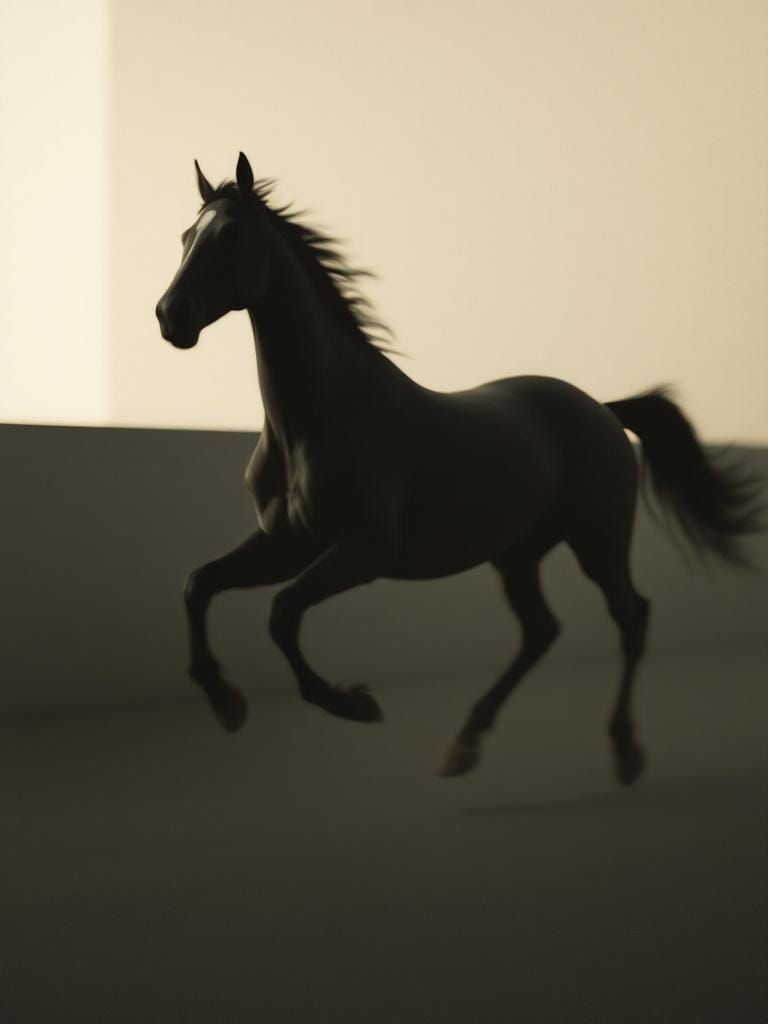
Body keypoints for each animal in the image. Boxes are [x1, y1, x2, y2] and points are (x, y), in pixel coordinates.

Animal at [156, 152, 760, 784]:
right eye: (186, 236)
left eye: (230, 234)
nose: (171, 316)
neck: (320, 421)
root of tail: (601, 407)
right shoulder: (287, 544)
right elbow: (199, 584)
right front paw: (224, 700)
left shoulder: (362, 551)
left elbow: (281, 613)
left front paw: (352, 702)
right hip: (517, 553)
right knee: (541, 630)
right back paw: (466, 743)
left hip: (599, 541)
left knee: (631, 616)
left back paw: (623, 749)